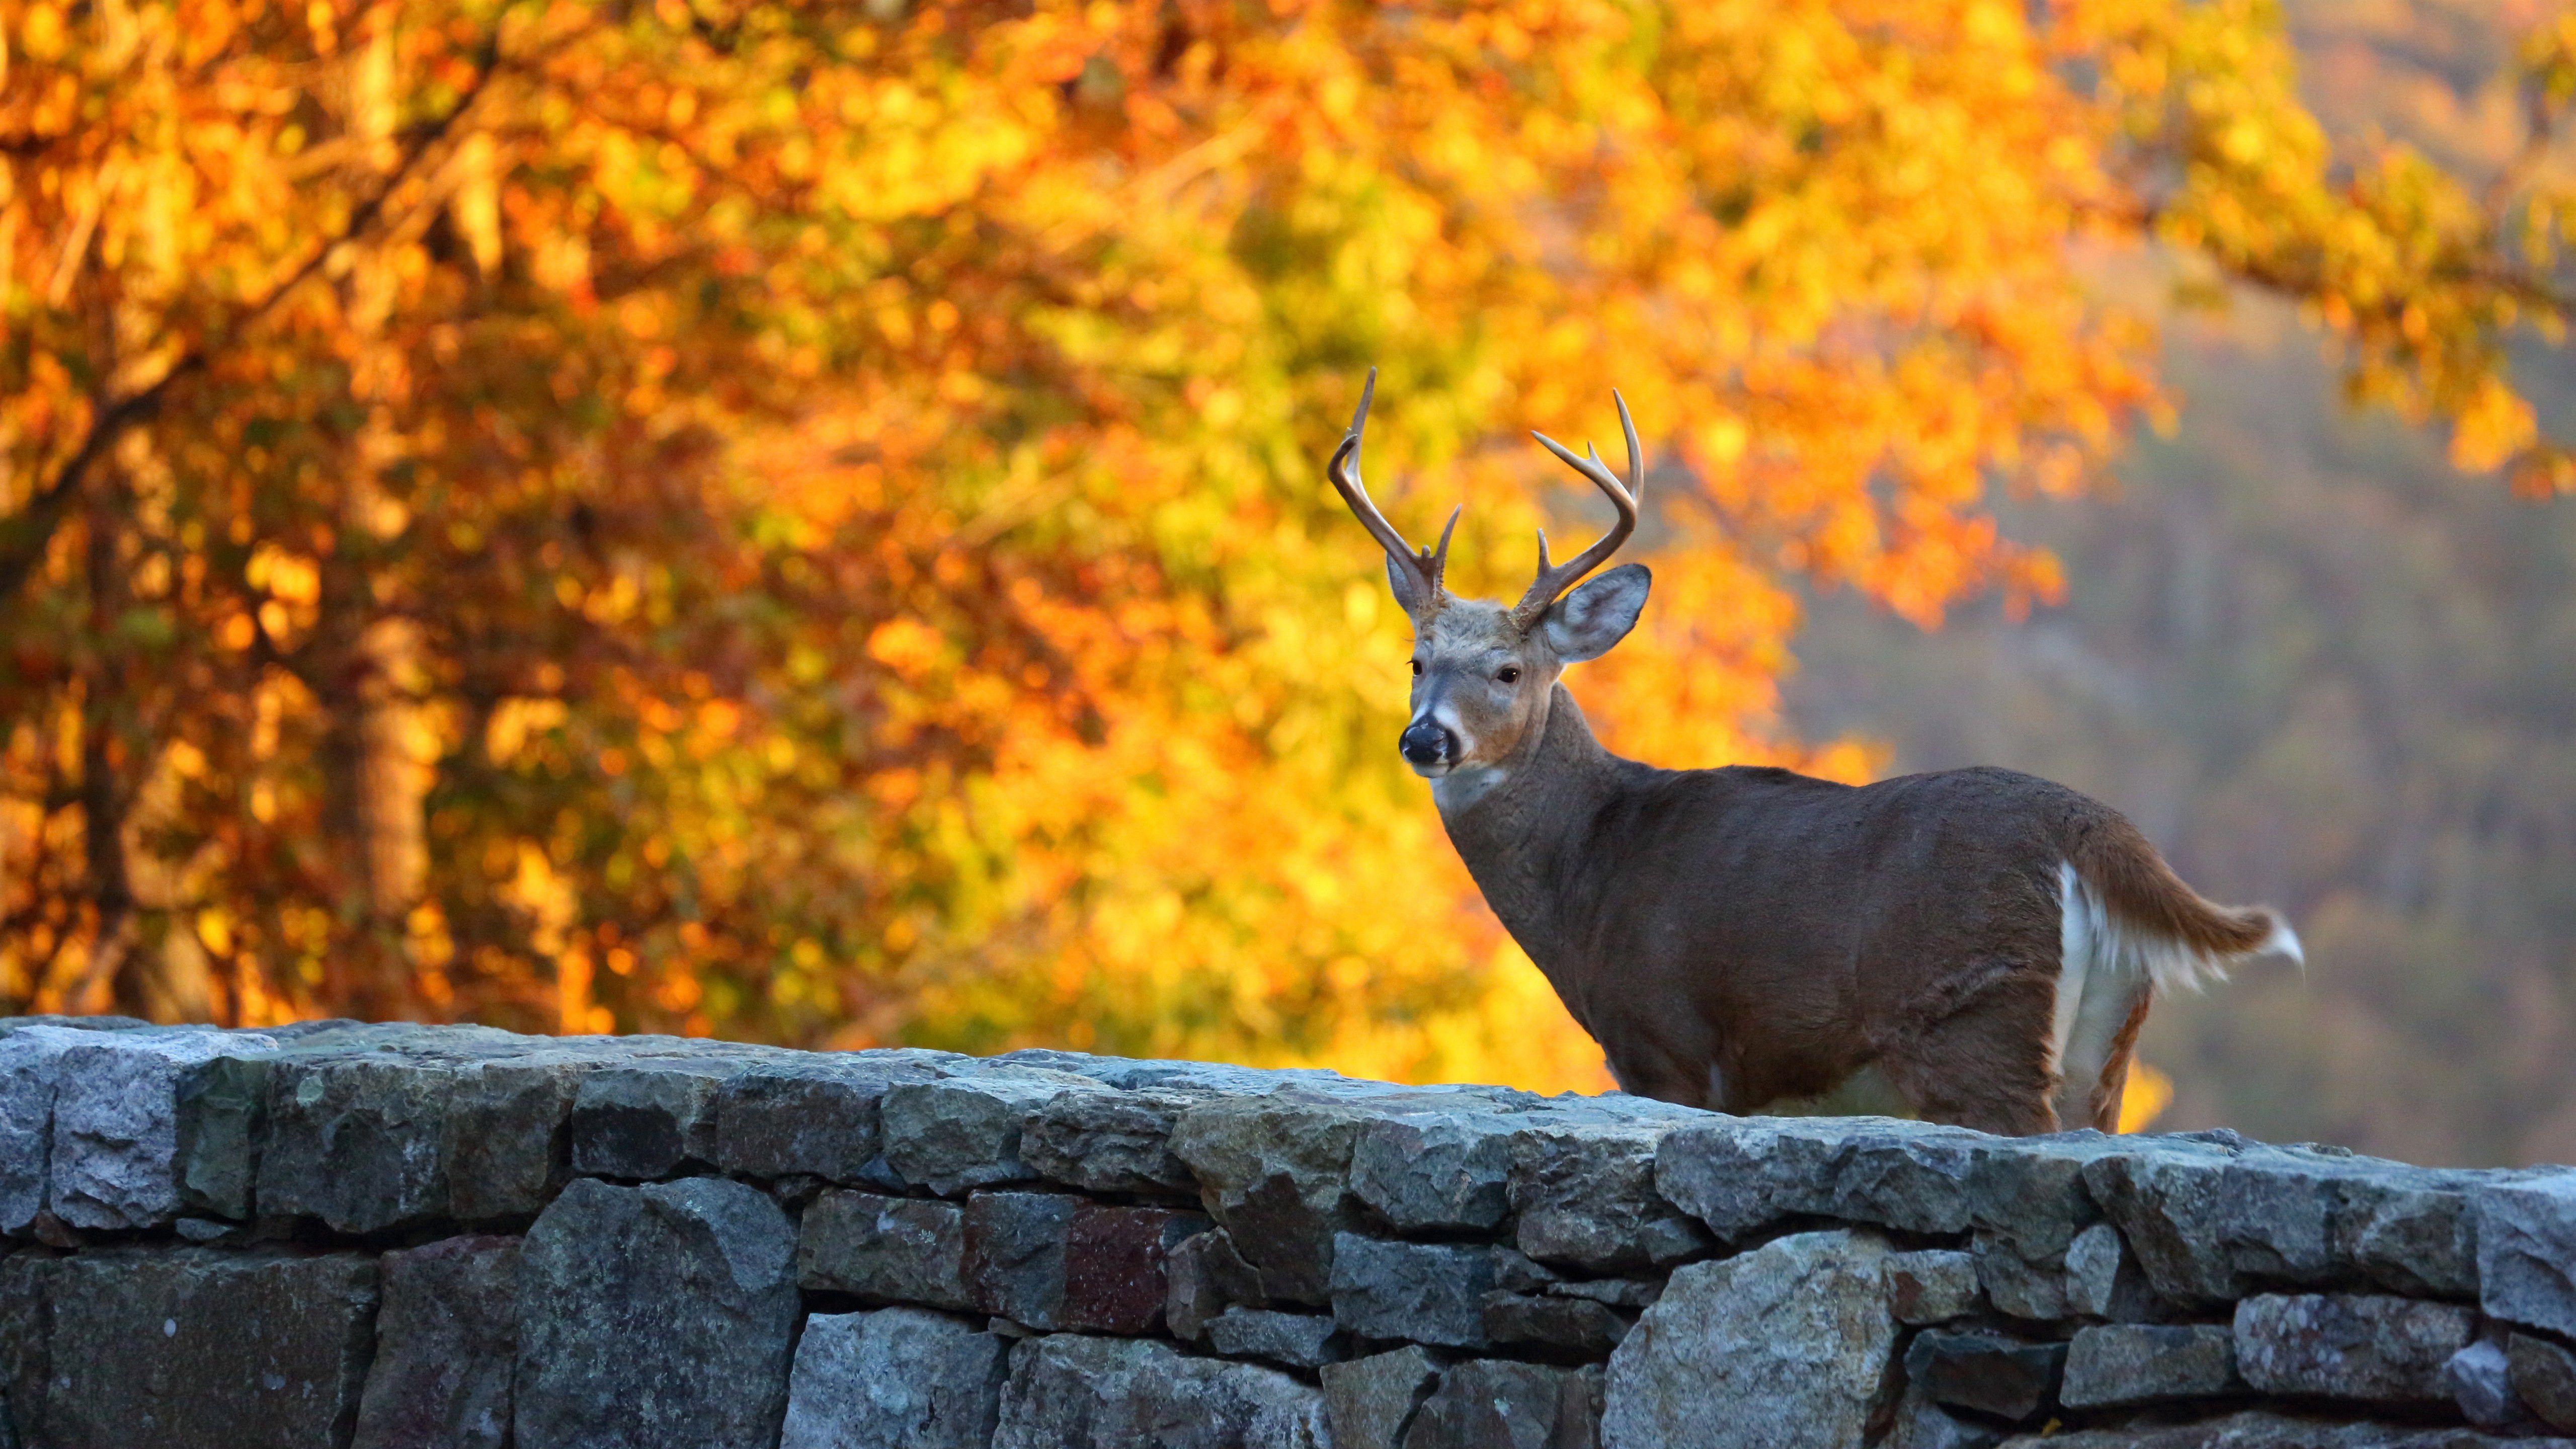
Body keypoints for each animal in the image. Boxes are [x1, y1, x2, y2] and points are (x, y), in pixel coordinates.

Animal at [1326, 370, 2300, 1135]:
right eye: (1416, 661)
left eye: (1510, 670)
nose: (1425, 738)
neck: (1590, 872)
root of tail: (2093, 832)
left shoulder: (1667, 1044)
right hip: (2109, 1046)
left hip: (1980, 1018)